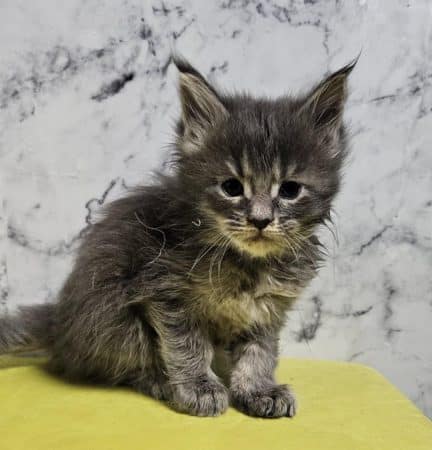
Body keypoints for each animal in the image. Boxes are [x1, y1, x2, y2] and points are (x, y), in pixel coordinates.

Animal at [0, 56, 354, 418]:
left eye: (290, 190)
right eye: (231, 187)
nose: (260, 220)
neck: (246, 264)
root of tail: (59, 323)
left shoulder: (266, 310)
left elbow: (259, 353)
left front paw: (258, 390)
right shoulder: (164, 290)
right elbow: (188, 345)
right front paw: (199, 387)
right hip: (112, 315)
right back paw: (160, 382)